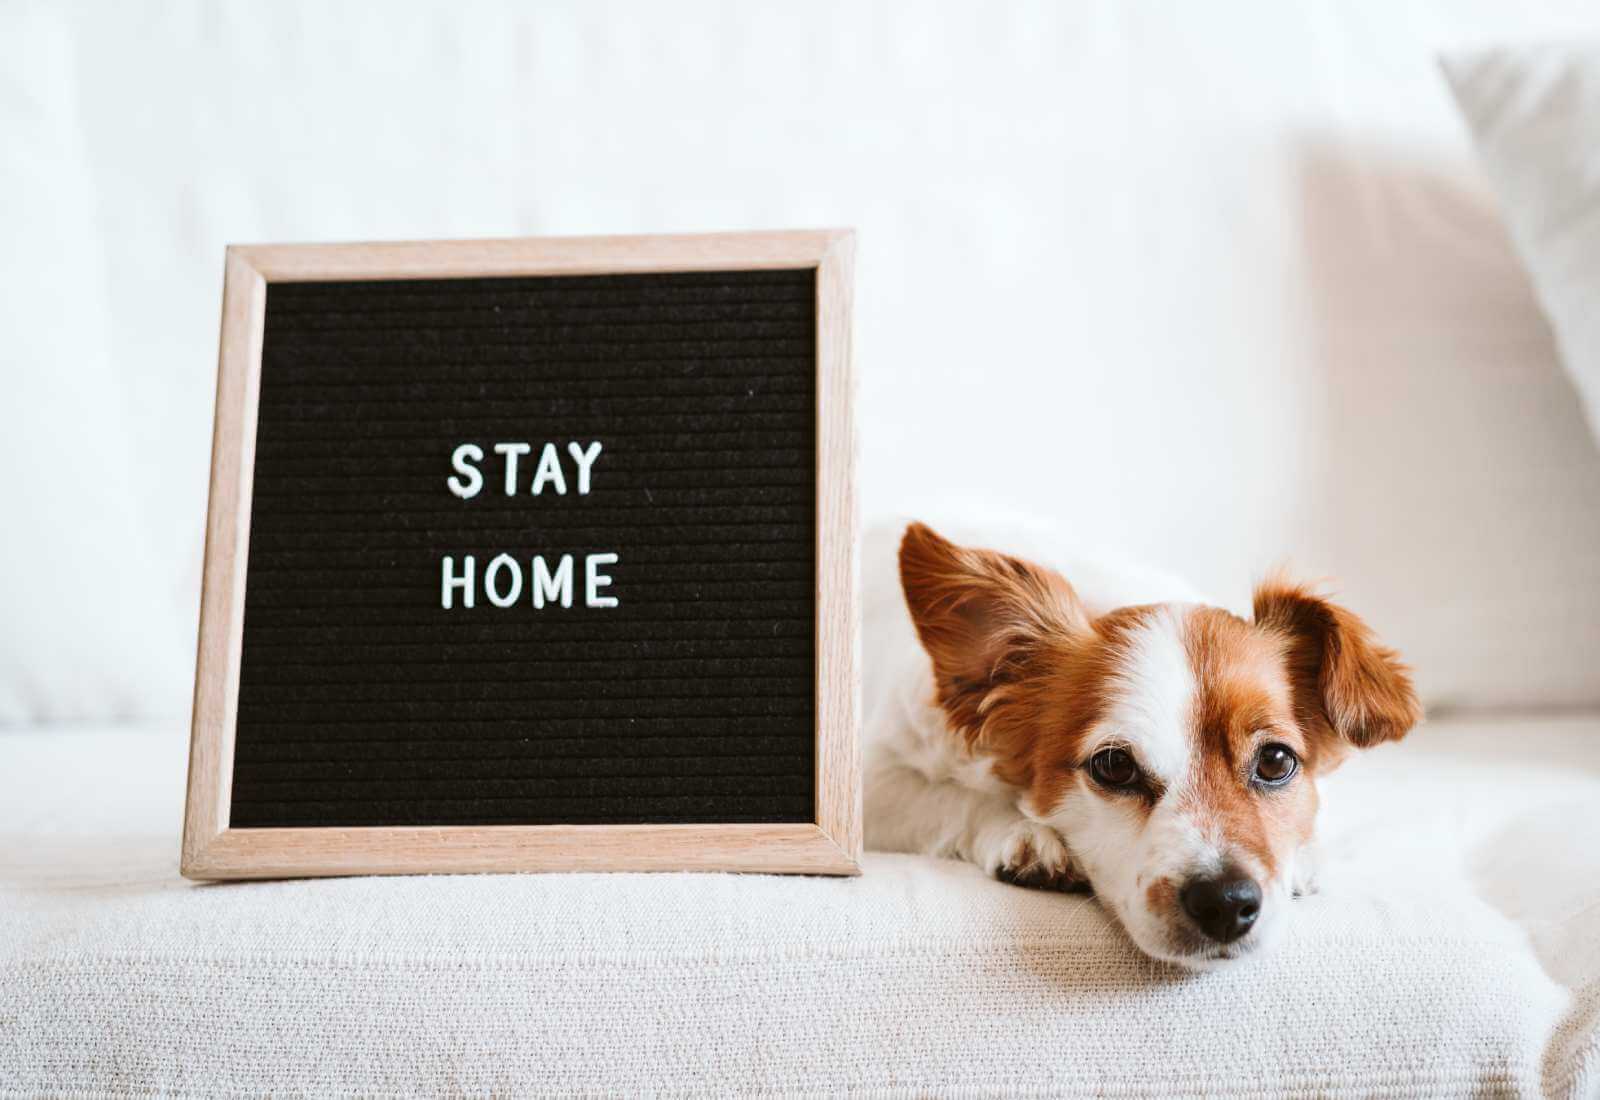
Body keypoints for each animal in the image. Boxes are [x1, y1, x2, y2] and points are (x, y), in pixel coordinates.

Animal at [864, 521, 1427, 965]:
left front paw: (1304, 857)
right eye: (1114, 766)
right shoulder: (873, 787)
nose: (1225, 902)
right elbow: (951, 799)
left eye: (1275, 761)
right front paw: (1024, 835)